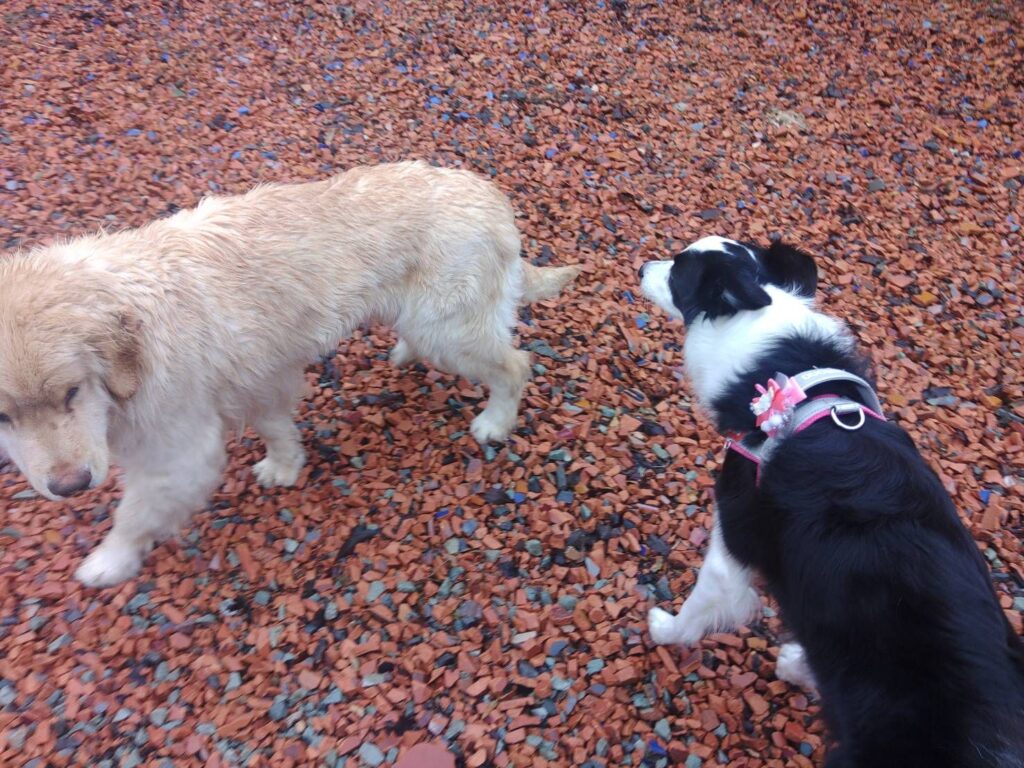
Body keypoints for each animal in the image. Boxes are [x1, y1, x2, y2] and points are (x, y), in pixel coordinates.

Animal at [0, 161, 580, 587]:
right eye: (3, 417)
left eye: (72, 391)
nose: (70, 487)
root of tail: (494, 199)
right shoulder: (260, 376)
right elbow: (276, 427)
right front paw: (285, 466)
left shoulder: (178, 451)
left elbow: (134, 515)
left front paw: (110, 560)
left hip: (450, 328)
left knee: (515, 363)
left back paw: (496, 420)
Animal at [639, 236, 1024, 767]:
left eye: (677, 271)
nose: (642, 267)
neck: (793, 380)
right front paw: (799, 666)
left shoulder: (732, 537)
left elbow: (701, 604)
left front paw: (665, 630)